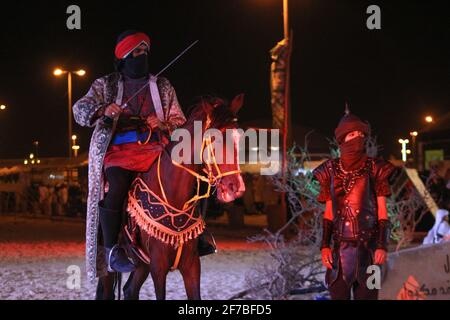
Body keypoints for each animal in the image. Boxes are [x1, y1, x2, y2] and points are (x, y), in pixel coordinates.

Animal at [95, 94, 248, 298]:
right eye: (213, 138)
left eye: (238, 137)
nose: (235, 187)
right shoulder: (158, 267)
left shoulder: (191, 265)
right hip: (110, 265)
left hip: (141, 264)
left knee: (130, 290)